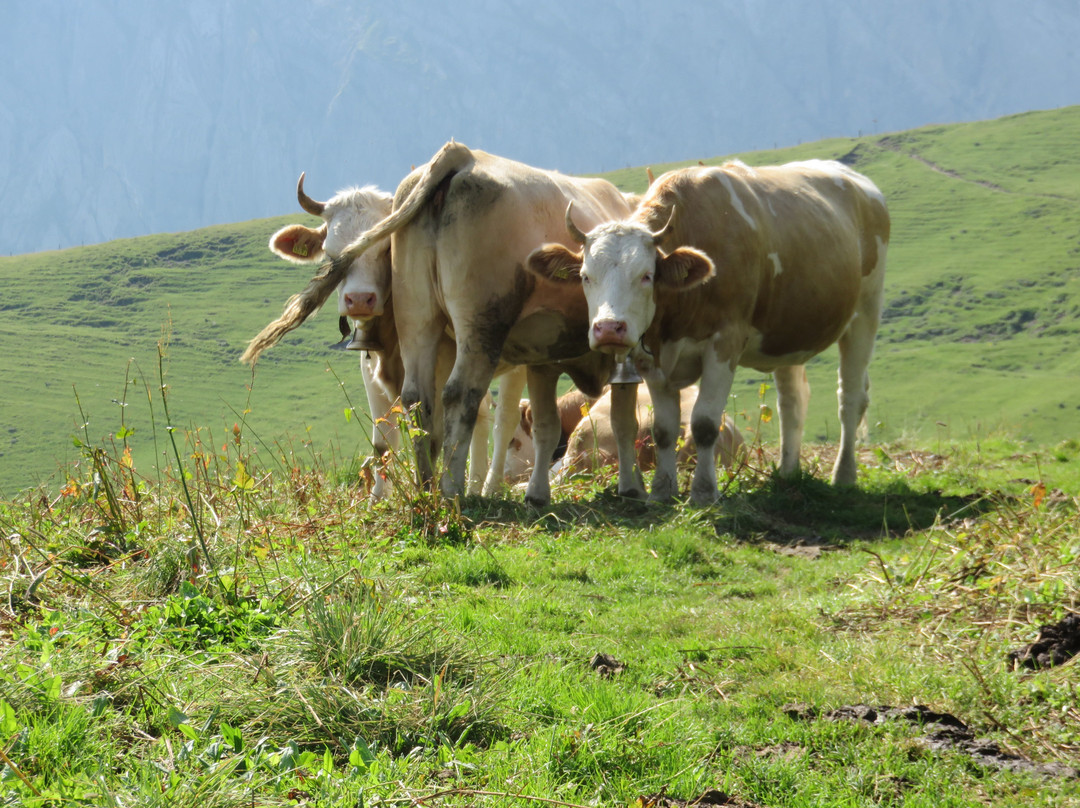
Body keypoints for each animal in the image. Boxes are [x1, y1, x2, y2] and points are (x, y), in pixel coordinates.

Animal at [254, 173, 520, 494]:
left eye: (387, 248)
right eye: (331, 254)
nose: (358, 299)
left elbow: (434, 435)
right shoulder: (369, 371)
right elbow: (383, 444)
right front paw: (377, 498)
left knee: (503, 421)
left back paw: (488, 487)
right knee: (480, 413)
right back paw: (475, 483)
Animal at [527, 157, 889, 505]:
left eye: (646, 275)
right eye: (585, 276)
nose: (608, 328)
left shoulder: (724, 343)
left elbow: (702, 423)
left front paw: (702, 492)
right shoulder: (652, 358)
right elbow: (663, 429)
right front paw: (662, 491)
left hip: (865, 312)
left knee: (850, 398)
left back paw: (844, 475)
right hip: (787, 334)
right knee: (792, 402)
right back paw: (787, 474)